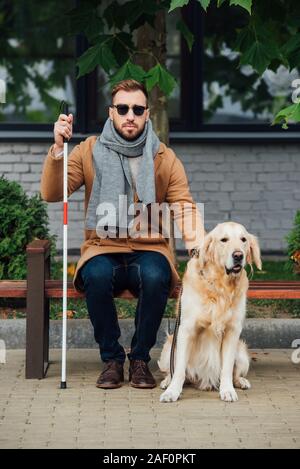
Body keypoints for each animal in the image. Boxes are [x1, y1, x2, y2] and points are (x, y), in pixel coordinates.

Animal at [159, 220, 260, 402]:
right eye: (224, 240)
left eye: (243, 239)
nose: (238, 255)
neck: (221, 287)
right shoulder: (186, 330)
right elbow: (179, 370)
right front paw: (172, 392)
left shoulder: (233, 331)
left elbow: (227, 368)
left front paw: (227, 390)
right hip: (169, 348)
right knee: (172, 369)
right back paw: (166, 382)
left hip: (242, 353)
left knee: (235, 373)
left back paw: (241, 381)